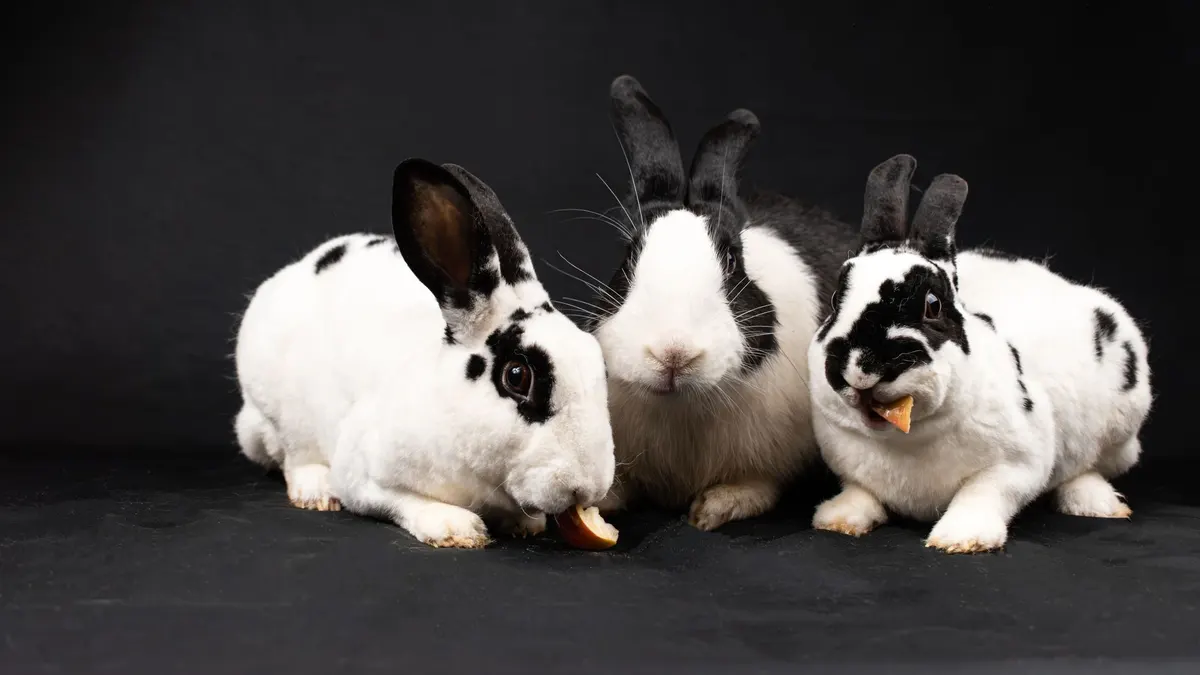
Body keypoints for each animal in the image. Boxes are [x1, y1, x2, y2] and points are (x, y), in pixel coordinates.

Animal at [233, 158, 616, 548]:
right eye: (516, 376)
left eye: (598, 362)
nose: (588, 488)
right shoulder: (363, 475)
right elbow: (402, 500)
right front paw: (456, 528)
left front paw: (526, 524)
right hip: (281, 416)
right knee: (295, 456)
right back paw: (317, 492)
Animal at [582, 75, 860, 531]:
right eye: (628, 256)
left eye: (732, 260)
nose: (673, 354)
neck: (682, 408)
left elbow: (757, 486)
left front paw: (716, 508)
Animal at [808, 154, 1153, 553]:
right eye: (837, 300)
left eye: (933, 305)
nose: (861, 369)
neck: (906, 438)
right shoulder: (850, 467)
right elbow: (861, 493)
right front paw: (837, 520)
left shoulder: (1017, 465)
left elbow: (983, 493)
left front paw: (961, 539)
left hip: (1121, 426)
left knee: (1087, 468)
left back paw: (1098, 504)